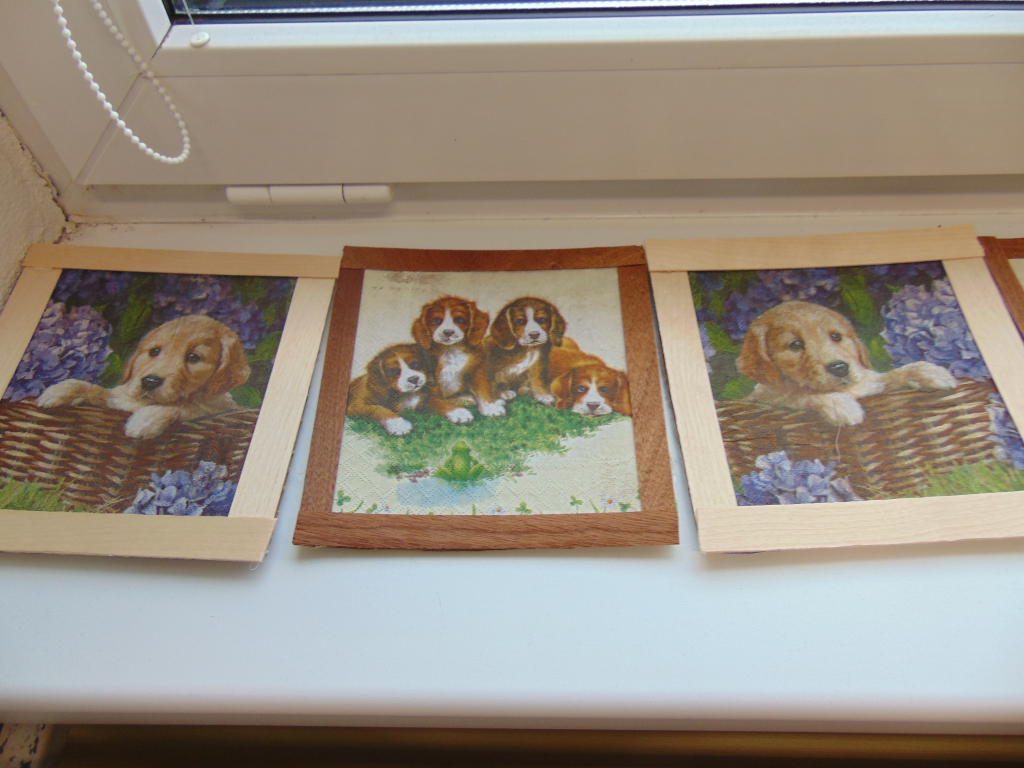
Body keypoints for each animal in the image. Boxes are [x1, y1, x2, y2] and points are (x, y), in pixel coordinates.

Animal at [37, 314, 250, 438]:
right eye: (154, 351)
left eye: (193, 357)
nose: (150, 381)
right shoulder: (118, 399)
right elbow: (97, 390)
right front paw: (60, 390)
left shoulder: (218, 409)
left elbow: (182, 407)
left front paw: (146, 420)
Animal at [411, 295, 489, 424]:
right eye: (436, 321)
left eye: (459, 320)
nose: (448, 332)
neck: (451, 350)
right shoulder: (427, 391)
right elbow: (438, 402)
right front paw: (458, 412)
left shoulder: (475, 370)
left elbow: (482, 388)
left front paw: (491, 406)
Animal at [736, 300, 957, 426]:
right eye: (795, 345)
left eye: (836, 336)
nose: (840, 368)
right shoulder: (768, 397)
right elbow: (801, 396)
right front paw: (840, 405)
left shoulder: (870, 383)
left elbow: (892, 375)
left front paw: (930, 372)